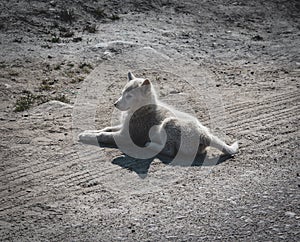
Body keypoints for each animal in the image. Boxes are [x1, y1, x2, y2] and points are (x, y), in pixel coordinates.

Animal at [78, 72, 238, 159]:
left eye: (129, 96)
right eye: (122, 93)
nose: (115, 104)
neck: (139, 109)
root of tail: (205, 135)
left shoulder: (126, 136)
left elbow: (104, 135)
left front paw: (87, 136)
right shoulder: (123, 127)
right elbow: (105, 129)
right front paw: (88, 131)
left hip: (169, 123)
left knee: (170, 151)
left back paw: (150, 145)